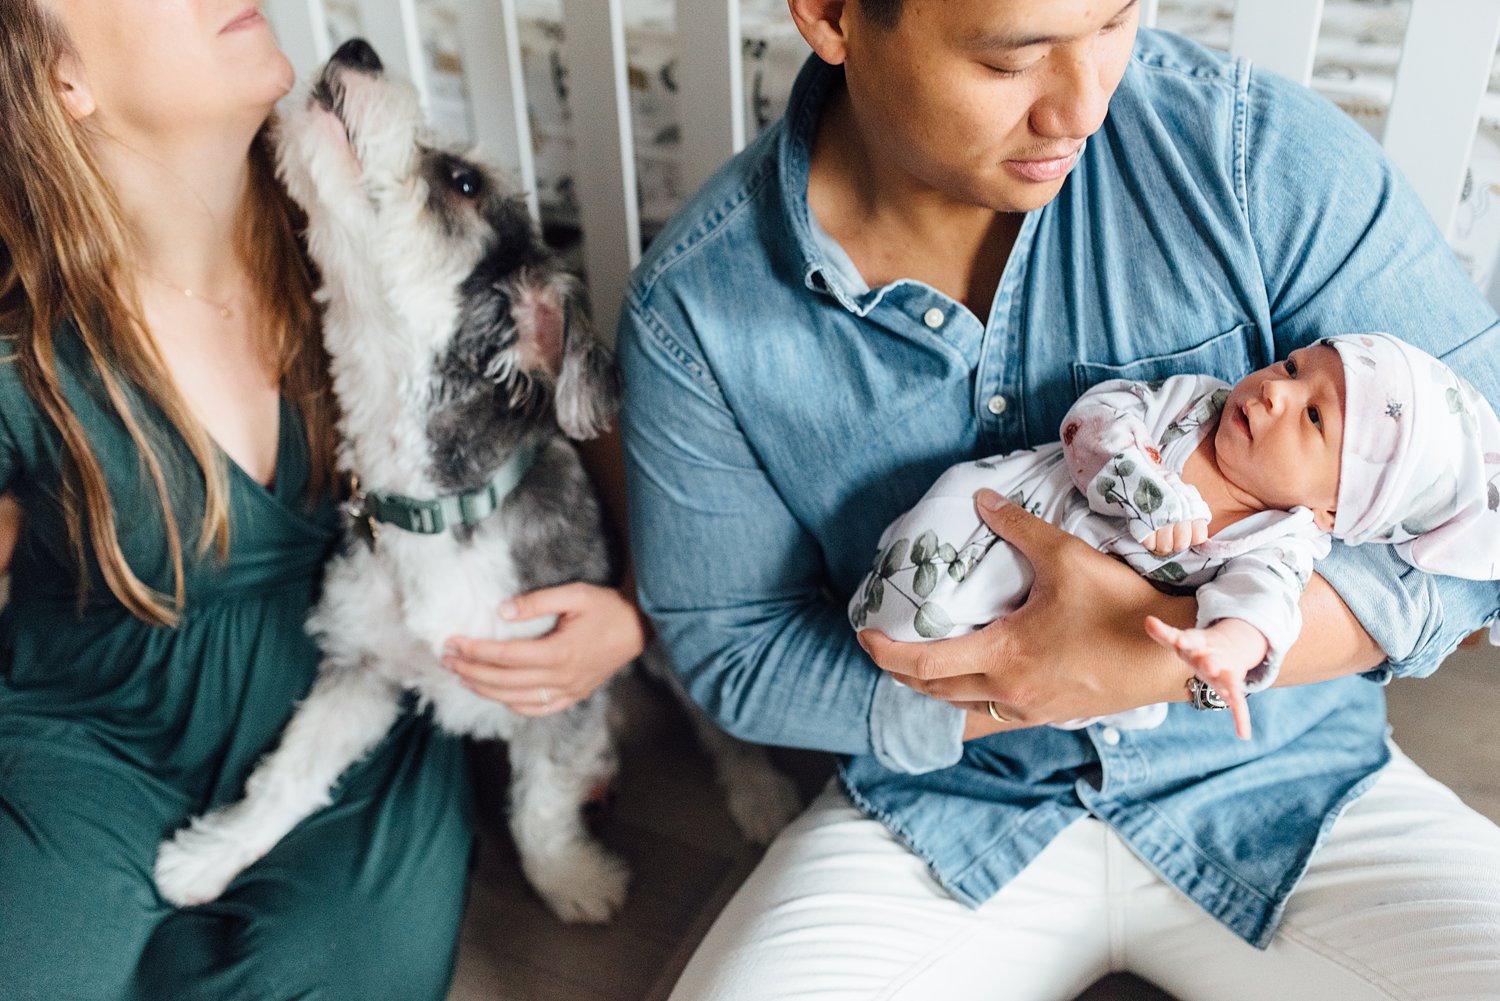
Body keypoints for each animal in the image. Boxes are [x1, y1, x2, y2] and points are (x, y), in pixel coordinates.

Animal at [155, 39, 798, 930]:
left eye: (461, 181)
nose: (358, 47)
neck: (440, 511)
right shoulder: (361, 669)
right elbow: (287, 774)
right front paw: (209, 856)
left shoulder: (559, 686)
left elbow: (538, 805)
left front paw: (573, 879)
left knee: (723, 724)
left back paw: (762, 796)